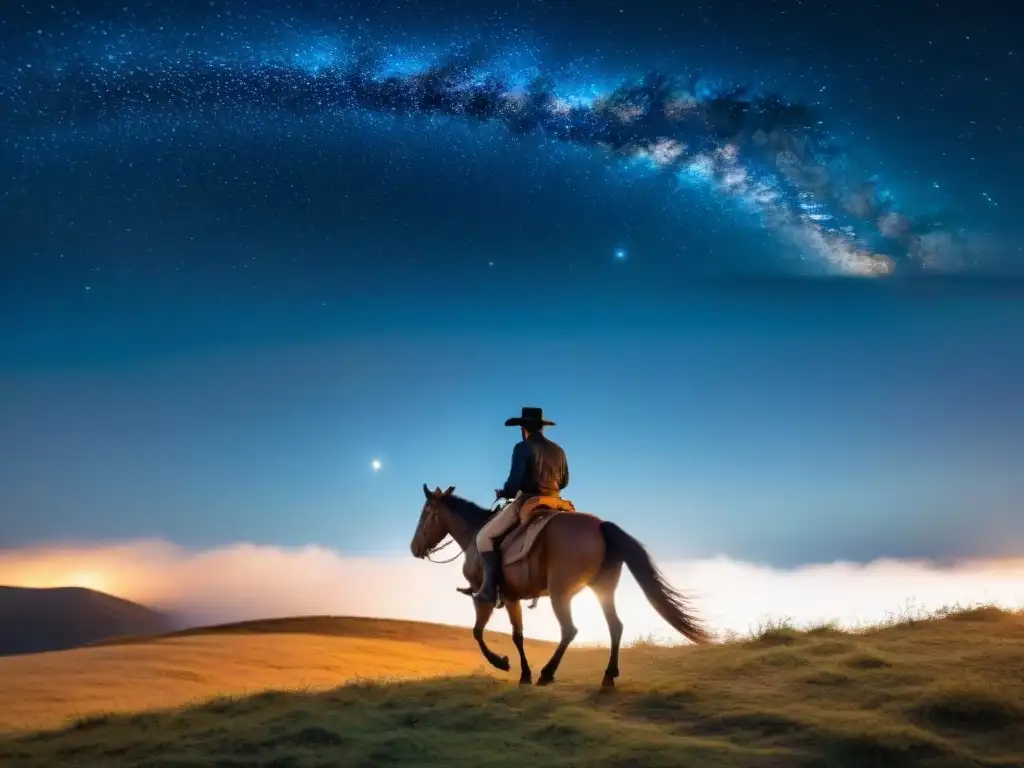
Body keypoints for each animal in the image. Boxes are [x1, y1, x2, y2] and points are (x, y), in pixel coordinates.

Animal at [407, 483, 712, 688]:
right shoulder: (513, 597)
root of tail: (601, 526)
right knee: (615, 626)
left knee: (570, 630)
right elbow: (518, 636)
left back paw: (548, 673)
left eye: (425, 513)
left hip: (560, 593)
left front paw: (502, 663)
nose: (414, 548)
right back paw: (608, 676)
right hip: (603, 589)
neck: (474, 534)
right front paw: (524, 674)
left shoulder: (483, 595)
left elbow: (477, 632)